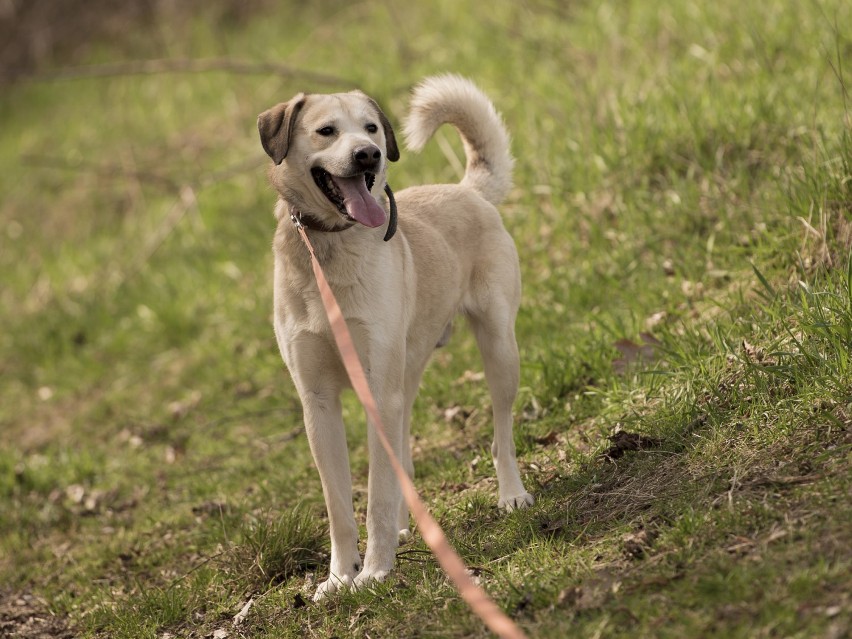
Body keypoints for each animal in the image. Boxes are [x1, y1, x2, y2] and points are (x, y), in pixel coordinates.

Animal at [256, 75, 532, 600]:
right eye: (326, 130)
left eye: (371, 128)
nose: (369, 155)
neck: (330, 248)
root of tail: (467, 191)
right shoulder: (318, 404)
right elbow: (340, 508)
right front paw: (339, 578)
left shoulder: (377, 393)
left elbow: (377, 499)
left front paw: (376, 571)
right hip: (405, 377)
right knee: (403, 454)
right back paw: (411, 526)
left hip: (498, 350)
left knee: (501, 435)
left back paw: (511, 494)